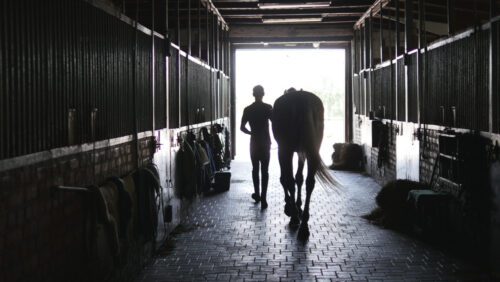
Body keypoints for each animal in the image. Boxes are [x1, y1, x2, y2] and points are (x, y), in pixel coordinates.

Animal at [272, 89, 342, 239]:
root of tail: (301, 98)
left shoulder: (284, 150)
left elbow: (285, 179)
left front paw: (290, 207)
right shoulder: (302, 152)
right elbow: (299, 178)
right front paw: (298, 206)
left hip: (286, 149)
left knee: (290, 181)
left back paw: (294, 218)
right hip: (312, 150)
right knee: (310, 183)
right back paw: (304, 225)